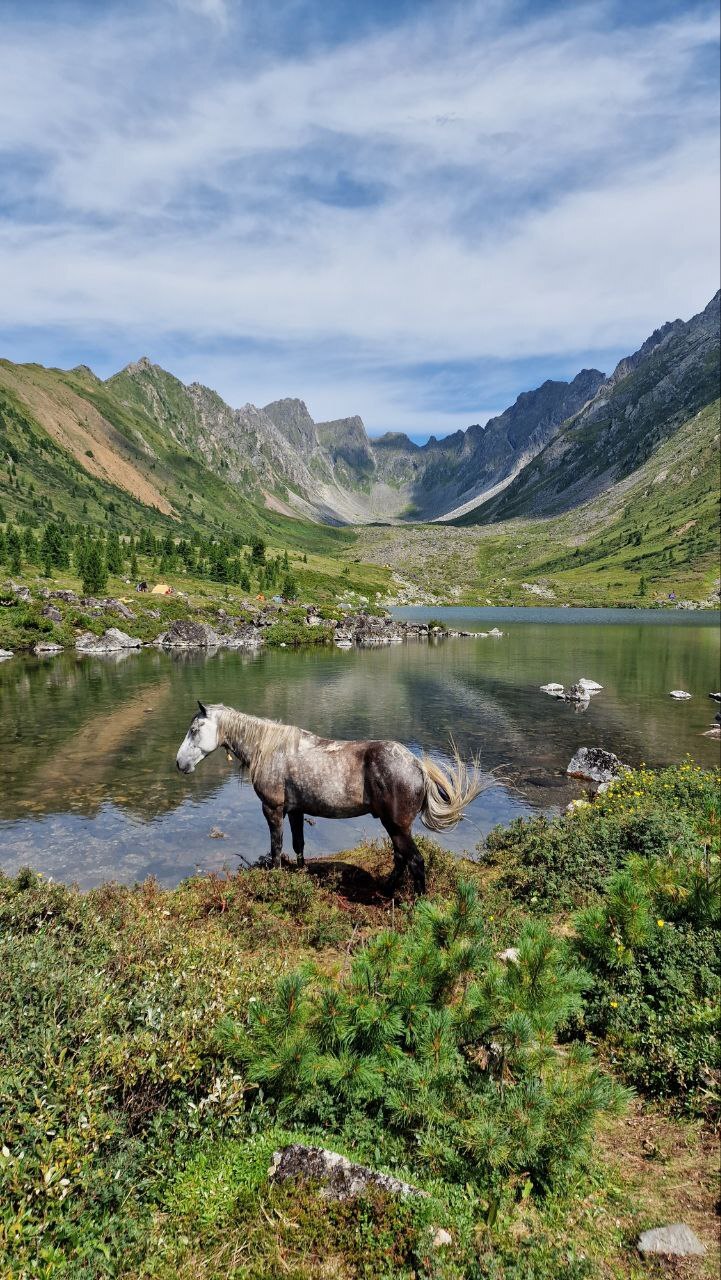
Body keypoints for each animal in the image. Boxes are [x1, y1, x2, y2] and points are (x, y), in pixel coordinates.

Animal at [172, 706, 484, 896]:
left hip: (397, 826)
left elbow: (276, 847)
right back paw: (386, 889)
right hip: (396, 826)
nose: (179, 763)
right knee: (400, 858)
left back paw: (419, 904)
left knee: (415, 861)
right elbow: (298, 844)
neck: (270, 749)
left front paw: (275, 878)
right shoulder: (295, 811)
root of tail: (416, 765)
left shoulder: (273, 809)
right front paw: (300, 873)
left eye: (195, 730)